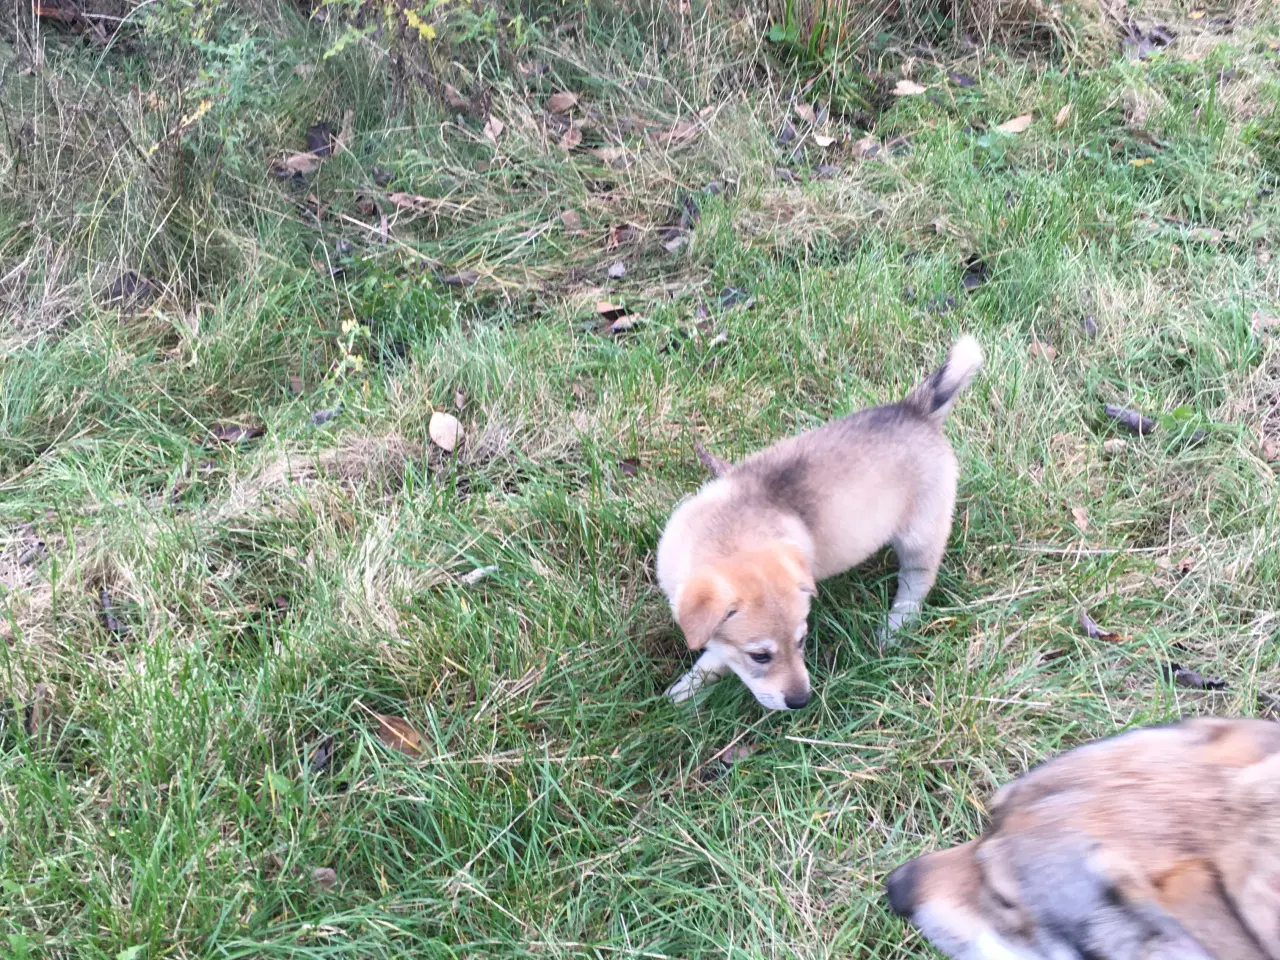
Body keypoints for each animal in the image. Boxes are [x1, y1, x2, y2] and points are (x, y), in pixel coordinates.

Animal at [655, 335, 983, 711]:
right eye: (760, 656)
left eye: (801, 641)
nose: (801, 700)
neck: (728, 531)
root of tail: (917, 410)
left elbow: (715, 658)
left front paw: (685, 689)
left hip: (920, 537)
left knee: (915, 585)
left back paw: (894, 628)